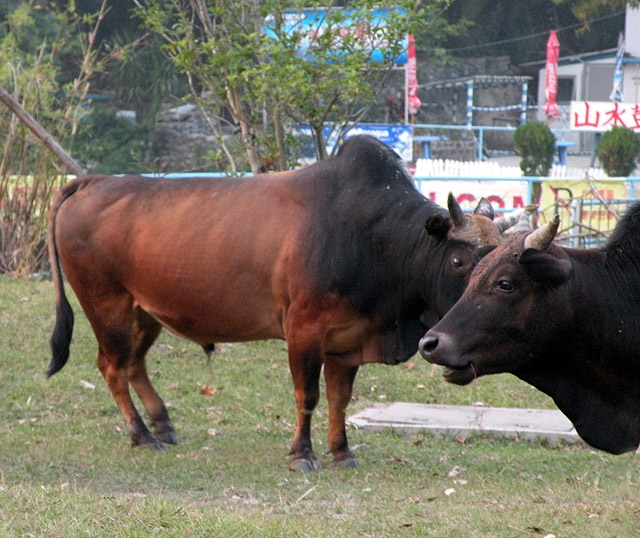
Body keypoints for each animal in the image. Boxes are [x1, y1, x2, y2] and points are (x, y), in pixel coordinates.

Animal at [47, 135, 502, 468]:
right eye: (459, 261)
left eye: (500, 260)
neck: (372, 236)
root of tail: (94, 181)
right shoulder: (303, 329)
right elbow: (308, 395)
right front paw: (302, 454)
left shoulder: (347, 339)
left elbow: (339, 398)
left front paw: (342, 452)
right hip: (107, 305)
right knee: (112, 367)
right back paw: (141, 435)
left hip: (146, 313)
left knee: (133, 364)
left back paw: (161, 425)